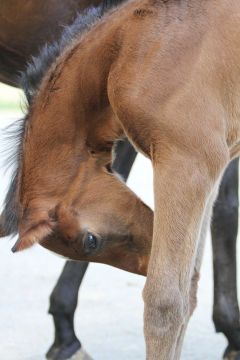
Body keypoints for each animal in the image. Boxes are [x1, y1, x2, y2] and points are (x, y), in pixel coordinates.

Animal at [0, 0, 239, 360]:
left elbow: (166, 303)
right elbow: (190, 288)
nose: (146, 261)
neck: (132, 45)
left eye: (89, 241)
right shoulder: (209, 166)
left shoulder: (189, 162)